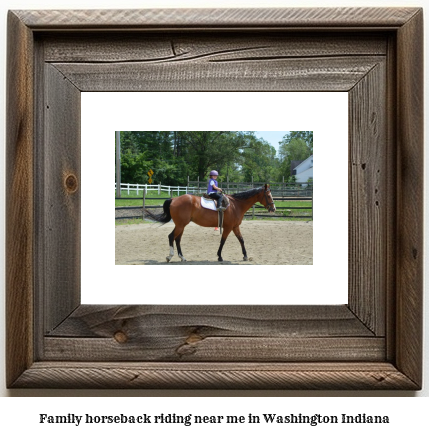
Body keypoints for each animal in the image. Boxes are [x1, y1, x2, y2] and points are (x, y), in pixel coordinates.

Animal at [144, 182, 276, 260]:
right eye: (269, 196)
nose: (273, 208)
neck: (235, 205)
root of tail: (174, 199)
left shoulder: (235, 227)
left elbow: (241, 240)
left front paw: (245, 256)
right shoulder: (228, 227)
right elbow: (223, 241)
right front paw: (219, 256)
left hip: (181, 225)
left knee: (177, 239)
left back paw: (182, 257)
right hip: (180, 225)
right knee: (172, 237)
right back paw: (170, 256)